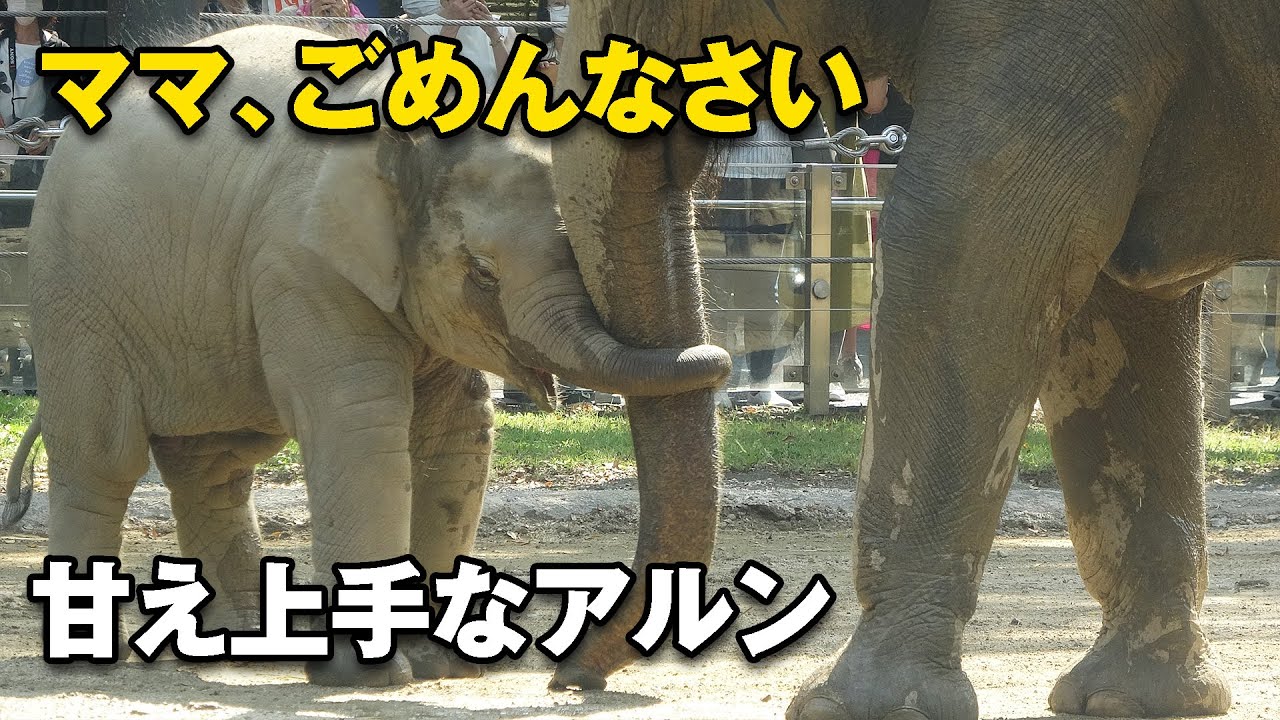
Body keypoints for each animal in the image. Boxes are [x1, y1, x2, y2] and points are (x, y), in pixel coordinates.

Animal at [0, 23, 730, 686]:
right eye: (482, 274)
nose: (719, 356)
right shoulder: (300, 262)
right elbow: (360, 425)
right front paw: (368, 676)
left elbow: (455, 434)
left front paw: (439, 664)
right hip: (70, 286)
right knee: (104, 453)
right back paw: (89, 655)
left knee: (216, 463)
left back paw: (249, 645)